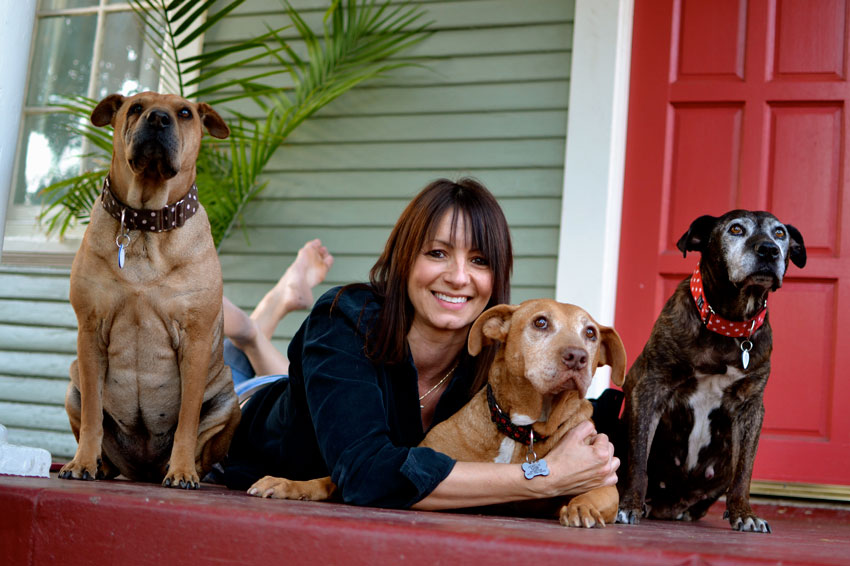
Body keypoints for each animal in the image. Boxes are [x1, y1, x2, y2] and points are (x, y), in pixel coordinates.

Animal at [60, 92, 240, 488]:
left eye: (185, 113)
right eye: (137, 108)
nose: (158, 119)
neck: (145, 225)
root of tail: (141, 470)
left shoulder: (195, 337)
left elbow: (187, 419)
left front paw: (183, 470)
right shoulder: (90, 331)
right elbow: (94, 415)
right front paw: (82, 462)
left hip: (226, 398)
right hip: (73, 384)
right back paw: (101, 465)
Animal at [245, 302, 624, 528]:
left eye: (590, 332)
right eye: (541, 323)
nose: (577, 357)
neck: (520, 430)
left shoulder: (605, 484)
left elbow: (596, 495)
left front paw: (584, 507)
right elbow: (331, 479)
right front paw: (290, 483)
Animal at [612, 211, 804, 536]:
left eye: (780, 233)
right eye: (736, 229)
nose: (769, 250)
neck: (728, 325)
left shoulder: (750, 408)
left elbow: (744, 471)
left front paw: (744, 513)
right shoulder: (649, 389)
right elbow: (638, 462)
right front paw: (629, 506)